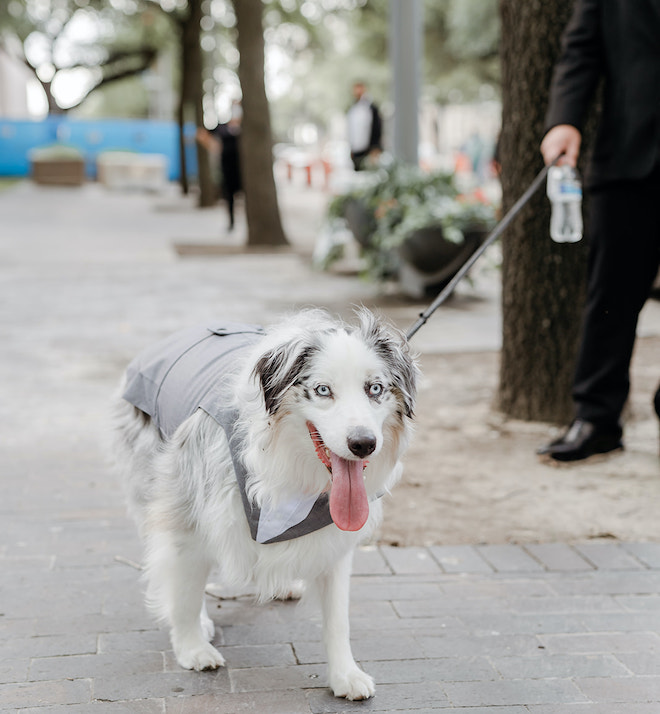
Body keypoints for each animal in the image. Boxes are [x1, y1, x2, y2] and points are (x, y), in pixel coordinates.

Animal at [110, 306, 416, 696]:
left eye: (374, 389)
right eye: (323, 390)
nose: (363, 444)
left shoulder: (334, 537)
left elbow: (338, 617)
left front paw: (345, 674)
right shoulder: (188, 511)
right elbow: (186, 588)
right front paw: (192, 647)